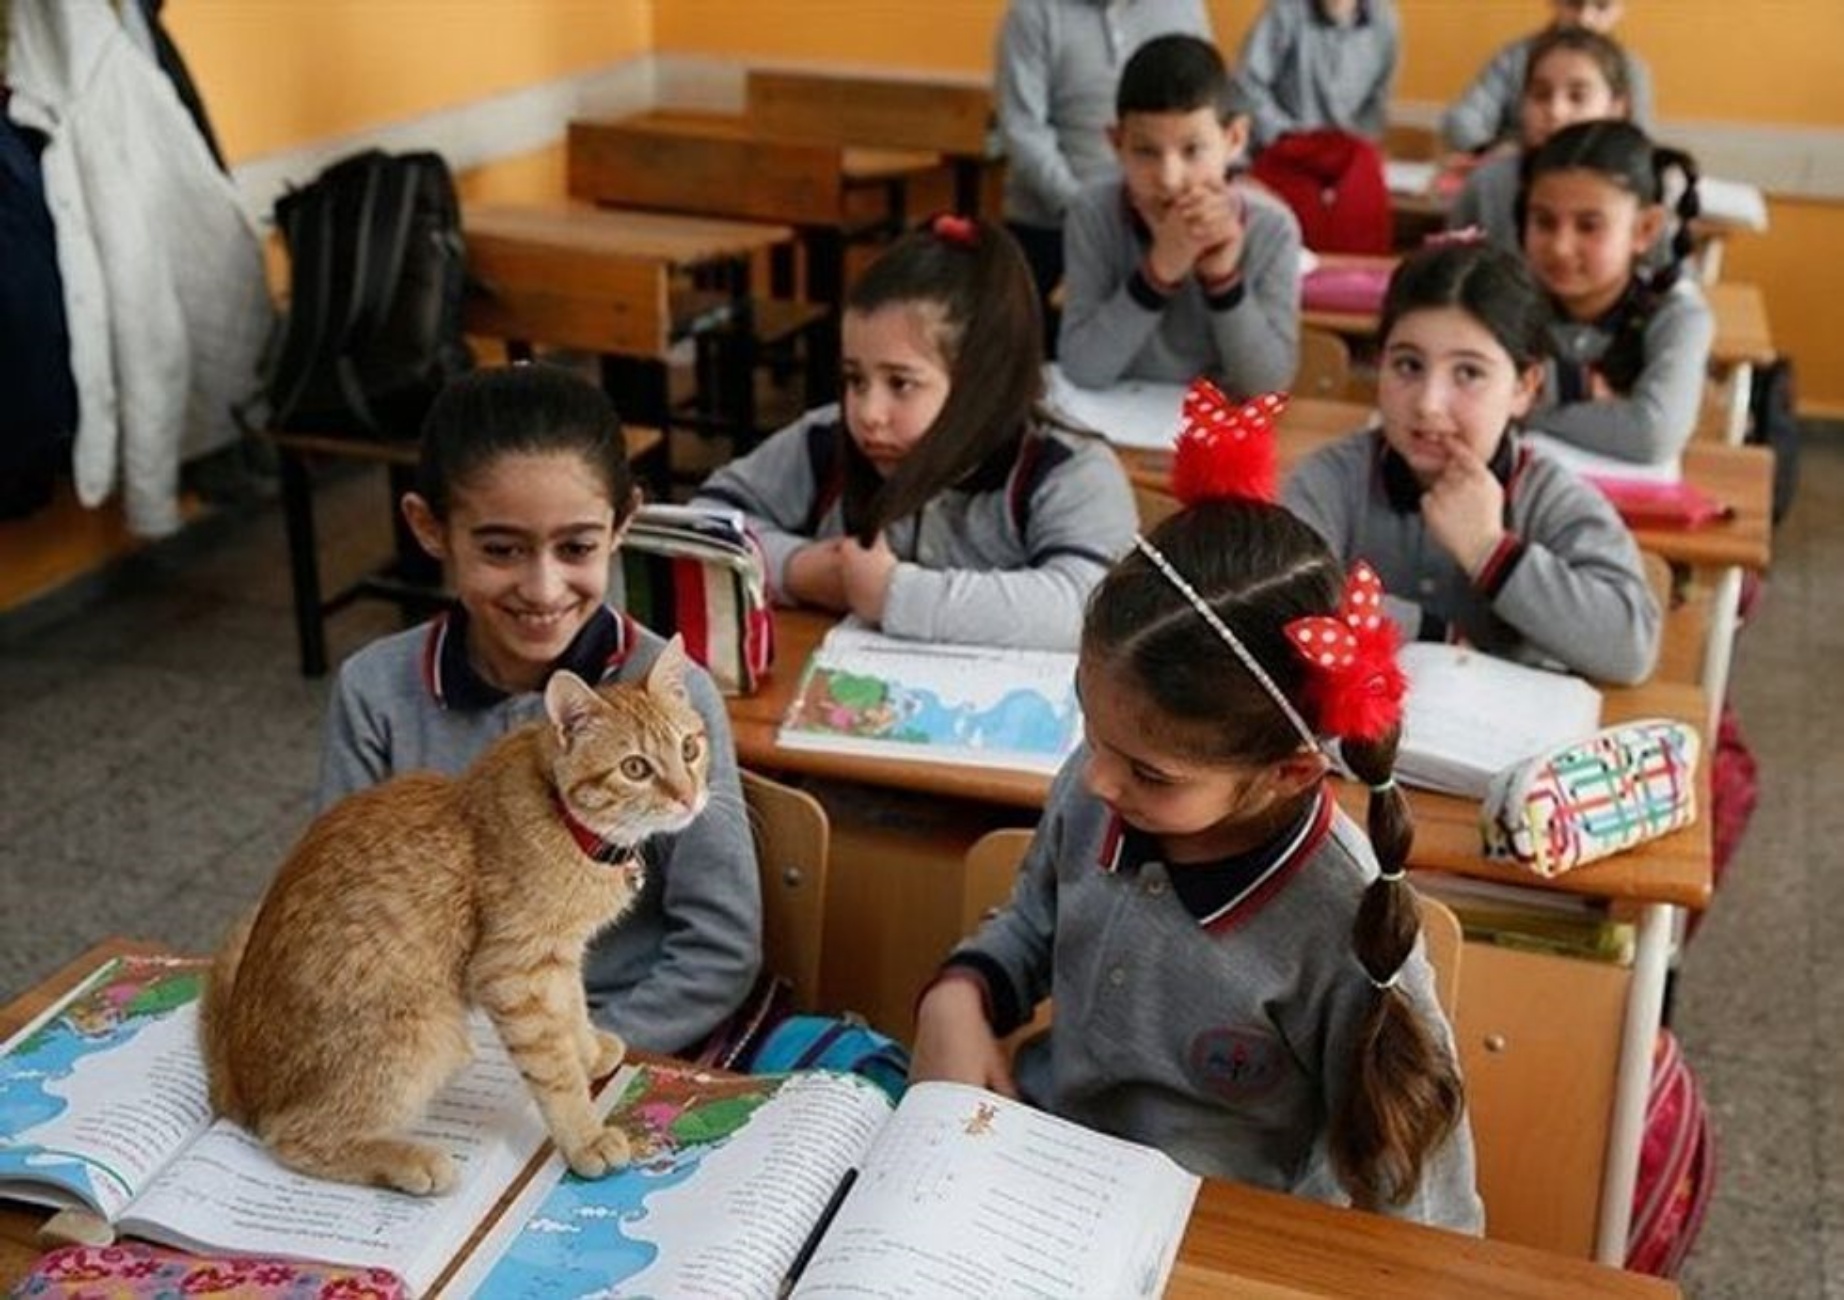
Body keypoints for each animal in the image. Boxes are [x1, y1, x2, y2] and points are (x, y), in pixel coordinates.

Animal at [201, 634, 704, 1194]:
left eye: (689, 748)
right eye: (635, 768)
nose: (689, 796)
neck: (566, 822)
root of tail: (239, 1082)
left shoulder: (558, 958)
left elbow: (572, 1009)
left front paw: (588, 1052)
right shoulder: (512, 974)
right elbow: (553, 1068)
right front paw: (585, 1136)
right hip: (429, 1033)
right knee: (291, 1136)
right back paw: (412, 1161)